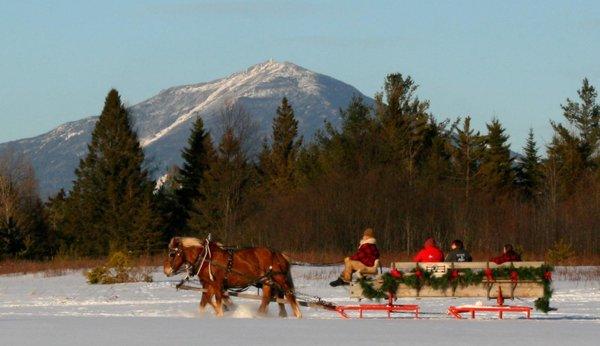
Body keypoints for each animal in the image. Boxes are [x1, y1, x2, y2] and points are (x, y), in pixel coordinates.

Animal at [163, 237, 300, 318]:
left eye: (172, 254)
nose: (166, 271)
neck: (206, 259)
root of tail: (279, 254)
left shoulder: (217, 285)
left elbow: (217, 303)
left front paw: (221, 313)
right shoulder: (209, 285)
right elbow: (203, 303)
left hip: (280, 279)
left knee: (290, 296)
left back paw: (298, 315)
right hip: (266, 282)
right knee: (266, 299)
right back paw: (259, 316)